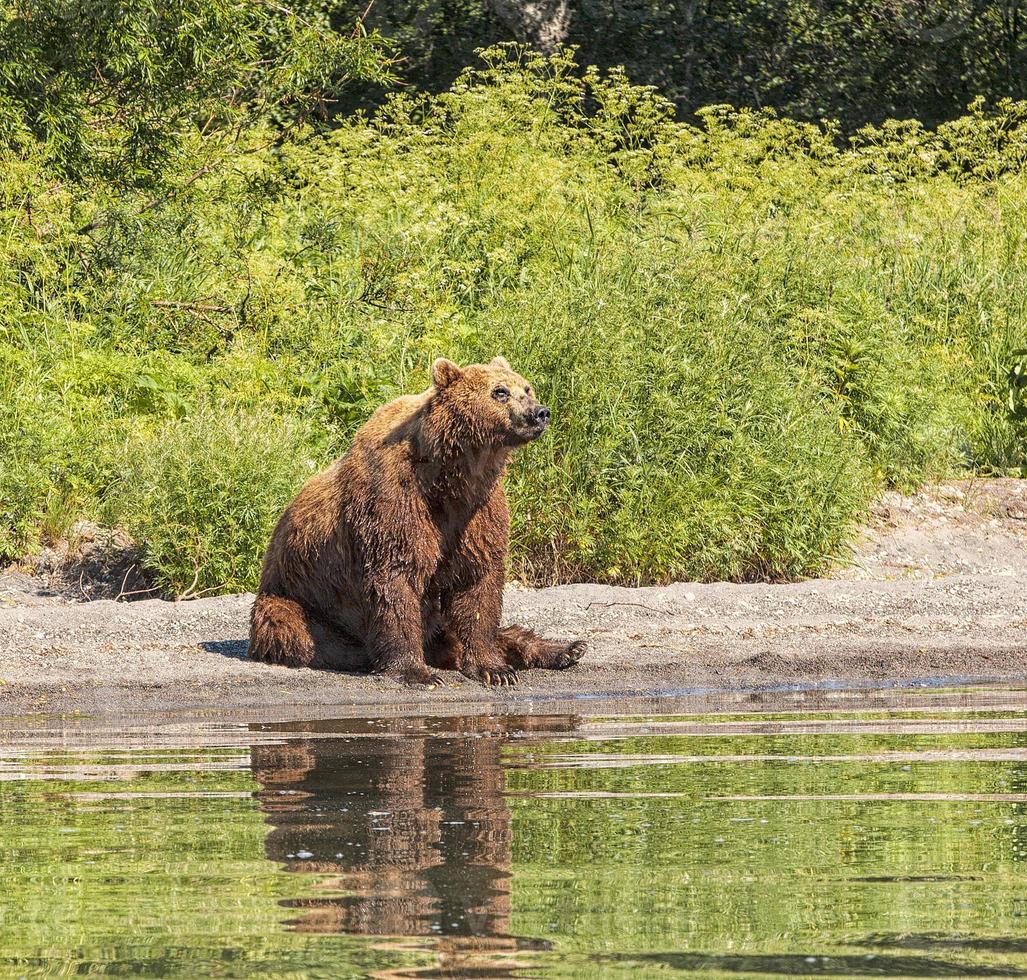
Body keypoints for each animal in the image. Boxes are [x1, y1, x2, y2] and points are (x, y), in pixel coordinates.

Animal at [248, 355, 587, 682]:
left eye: (527, 388)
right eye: (500, 391)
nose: (540, 413)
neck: (452, 474)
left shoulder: (478, 510)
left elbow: (477, 583)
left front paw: (494, 669)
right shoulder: (394, 498)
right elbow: (397, 577)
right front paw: (416, 672)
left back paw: (566, 648)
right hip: (299, 600)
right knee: (290, 627)